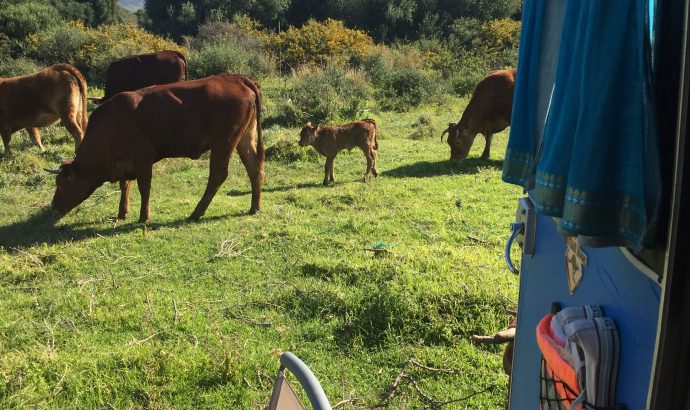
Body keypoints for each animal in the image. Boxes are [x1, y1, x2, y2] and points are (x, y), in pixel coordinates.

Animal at [47, 74, 264, 223]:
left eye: (62, 184)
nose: (53, 207)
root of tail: (236, 78)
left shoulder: (143, 159)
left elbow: (144, 188)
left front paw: (144, 216)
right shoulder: (124, 163)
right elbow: (125, 186)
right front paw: (122, 212)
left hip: (224, 142)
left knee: (218, 175)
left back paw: (197, 212)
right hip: (245, 138)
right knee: (255, 167)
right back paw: (254, 207)